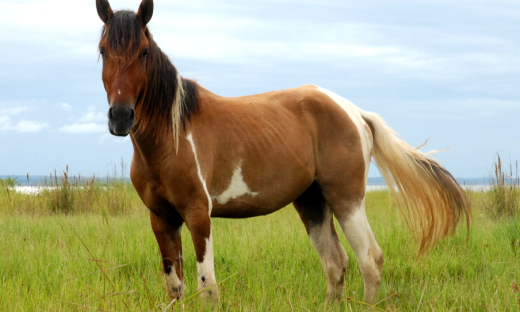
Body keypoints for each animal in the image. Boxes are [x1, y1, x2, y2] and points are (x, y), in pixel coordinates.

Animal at [94, 0, 472, 306]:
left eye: (144, 51)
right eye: (102, 51)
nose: (121, 116)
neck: (171, 136)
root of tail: (354, 111)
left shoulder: (198, 214)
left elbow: (207, 287)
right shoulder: (162, 218)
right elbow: (176, 287)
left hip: (346, 198)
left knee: (370, 259)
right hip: (312, 201)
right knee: (336, 263)